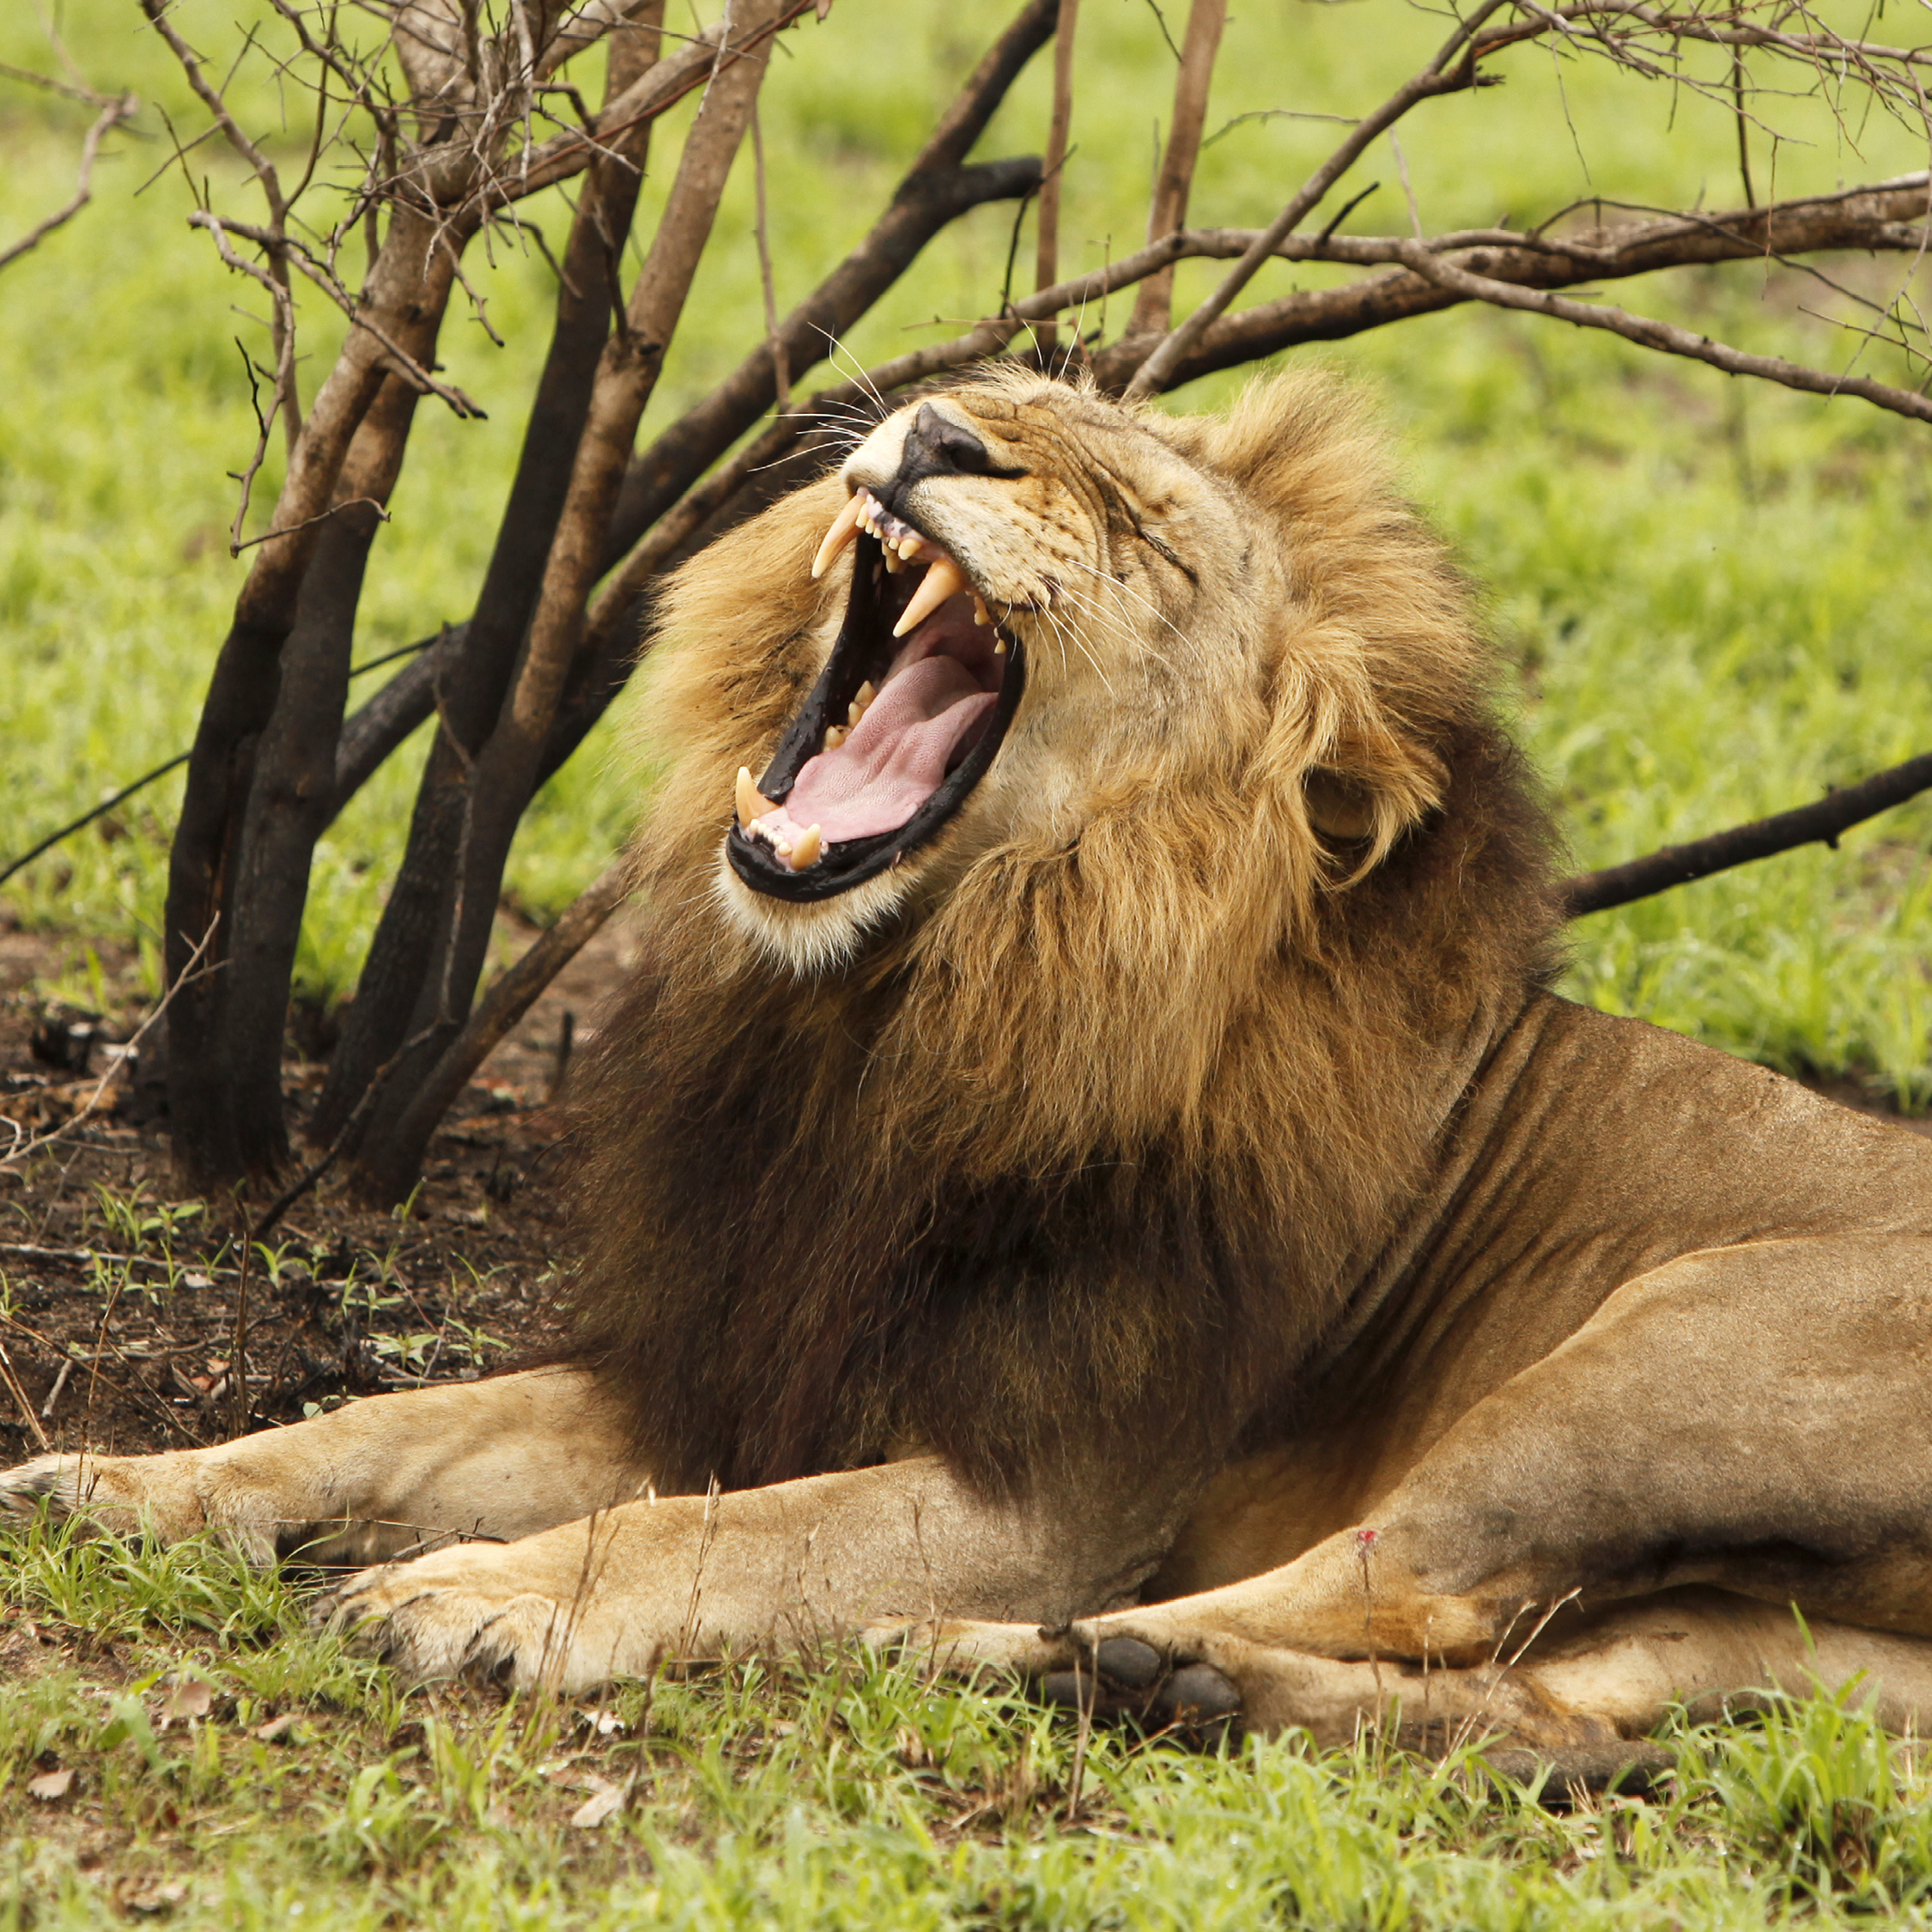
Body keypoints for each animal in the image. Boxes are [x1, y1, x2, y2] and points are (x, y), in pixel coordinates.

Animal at [11, 365, 1932, 1770]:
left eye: (1141, 525)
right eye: (995, 395)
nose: (932, 434)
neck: (892, 1024)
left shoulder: (1061, 1480)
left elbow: (731, 1536)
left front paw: (475, 1595)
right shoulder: (729, 1366)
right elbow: (380, 1422)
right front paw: (124, 1488)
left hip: (1651, 1365)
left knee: (1401, 1582)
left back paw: (1030, 1652)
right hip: (1768, 1634)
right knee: (1559, 1701)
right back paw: (1130, 1686)